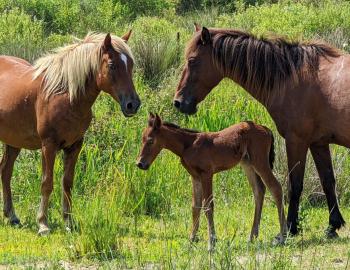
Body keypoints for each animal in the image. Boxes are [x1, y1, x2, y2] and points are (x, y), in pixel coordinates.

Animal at [1, 31, 141, 234]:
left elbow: (67, 182)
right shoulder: (48, 146)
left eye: (130, 64)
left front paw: (68, 222)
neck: (66, 95)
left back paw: (12, 216)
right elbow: (47, 183)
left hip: (13, 142)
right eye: (112, 65)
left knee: (5, 172)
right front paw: (43, 223)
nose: (133, 104)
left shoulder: (75, 146)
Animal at [137, 113, 288, 251]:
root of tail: (266, 129)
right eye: (142, 139)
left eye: (150, 140)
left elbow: (208, 206)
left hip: (260, 162)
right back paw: (252, 237)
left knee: (275, 188)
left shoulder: (207, 174)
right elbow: (195, 206)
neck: (188, 145)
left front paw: (211, 242)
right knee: (259, 191)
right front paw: (191, 240)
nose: (140, 164)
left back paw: (282, 236)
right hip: (248, 164)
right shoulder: (195, 177)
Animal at [174, 24, 348, 237]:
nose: (178, 102)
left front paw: (290, 227)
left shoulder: (296, 141)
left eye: (192, 60)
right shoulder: (318, 143)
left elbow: (294, 185)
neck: (293, 77)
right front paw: (332, 226)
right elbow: (328, 181)